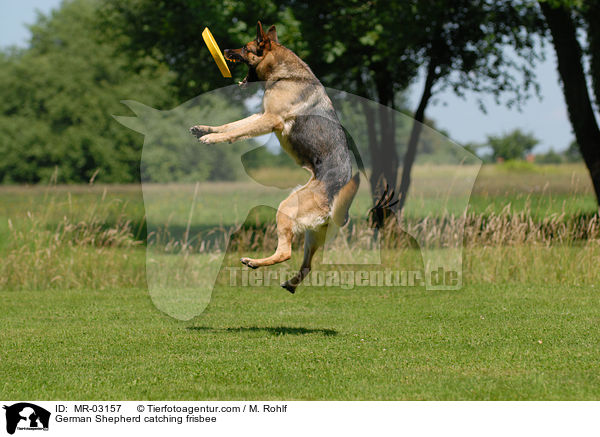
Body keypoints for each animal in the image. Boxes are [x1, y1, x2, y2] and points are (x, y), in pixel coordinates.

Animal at [190, 21, 358, 292]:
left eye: (245, 47)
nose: (224, 49)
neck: (284, 74)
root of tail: (338, 197)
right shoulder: (260, 115)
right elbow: (231, 125)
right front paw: (205, 130)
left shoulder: (270, 119)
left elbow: (235, 132)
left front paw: (212, 139)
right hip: (312, 233)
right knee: (307, 265)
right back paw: (289, 284)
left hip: (287, 207)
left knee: (286, 253)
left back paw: (254, 262)